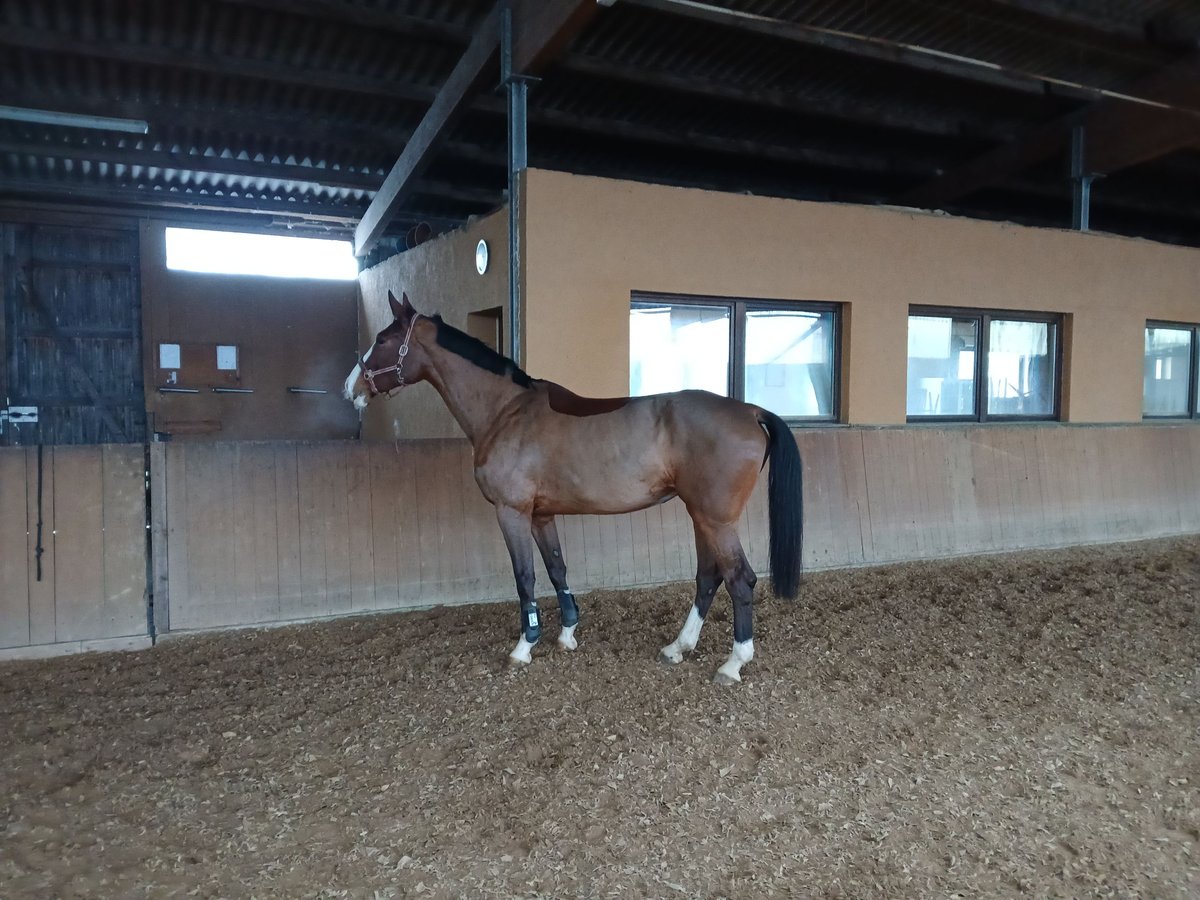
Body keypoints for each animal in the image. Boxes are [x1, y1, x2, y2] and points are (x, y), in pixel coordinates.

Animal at [345, 291, 804, 684]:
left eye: (383, 339)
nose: (352, 388)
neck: (506, 411)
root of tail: (751, 410)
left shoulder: (511, 511)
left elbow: (525, 576)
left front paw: (523, 646)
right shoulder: (541, 515)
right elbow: (556, 569)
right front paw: (566, 634)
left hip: (715, 519)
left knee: (740, 579)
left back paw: (733, 664)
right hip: (701, 516)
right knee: (709, 576)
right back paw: (678, 647)